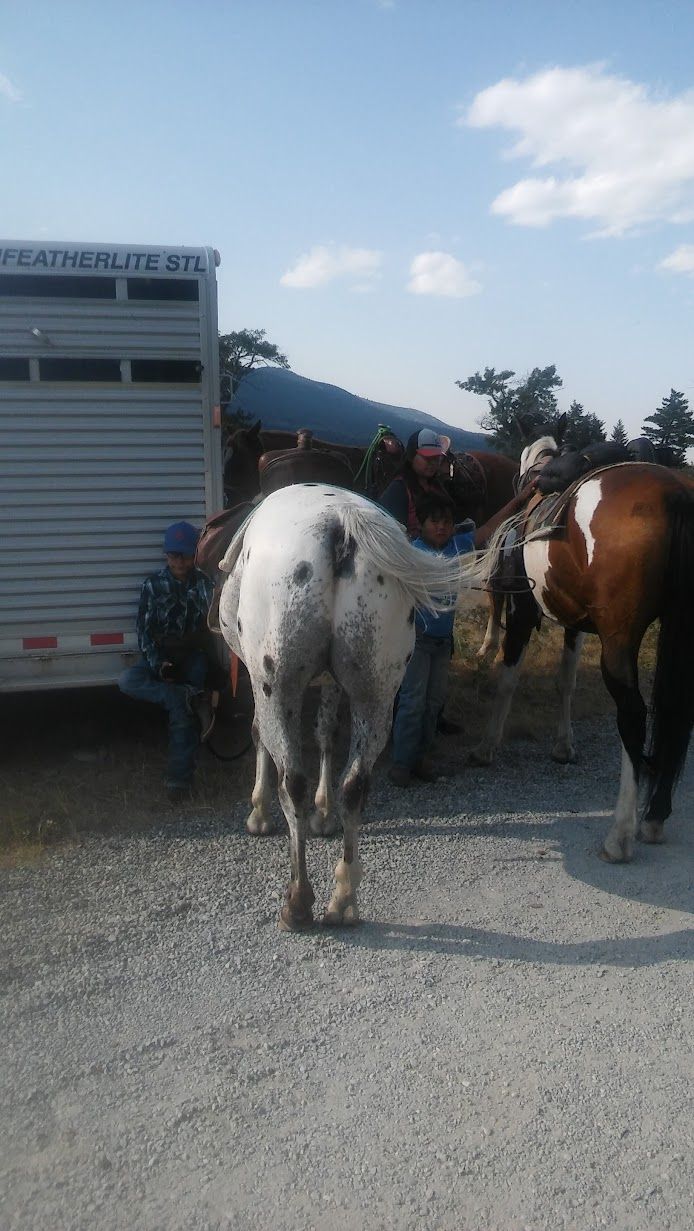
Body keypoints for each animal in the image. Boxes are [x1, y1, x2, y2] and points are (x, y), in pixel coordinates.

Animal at [217, 482, 490, 931]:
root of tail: (340, 524)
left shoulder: (259, 681)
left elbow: (258, 735)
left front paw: (258, 814)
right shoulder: (331, 684)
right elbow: (326, 734)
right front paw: (324, 814)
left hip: (280, 687)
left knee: (293, 781)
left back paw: (298, 901)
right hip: (375, 693)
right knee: (356, 784)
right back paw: (343, 899)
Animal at [470, 433, 694, 864]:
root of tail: (677, 494)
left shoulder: (522, 612)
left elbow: (507, 680)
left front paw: (488, 744)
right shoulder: (575, 624)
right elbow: (566, 682)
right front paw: (563, 745)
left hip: (619, 638)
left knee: (633, 716)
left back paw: (620, 835)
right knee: (678, 714)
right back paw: (655, 816)